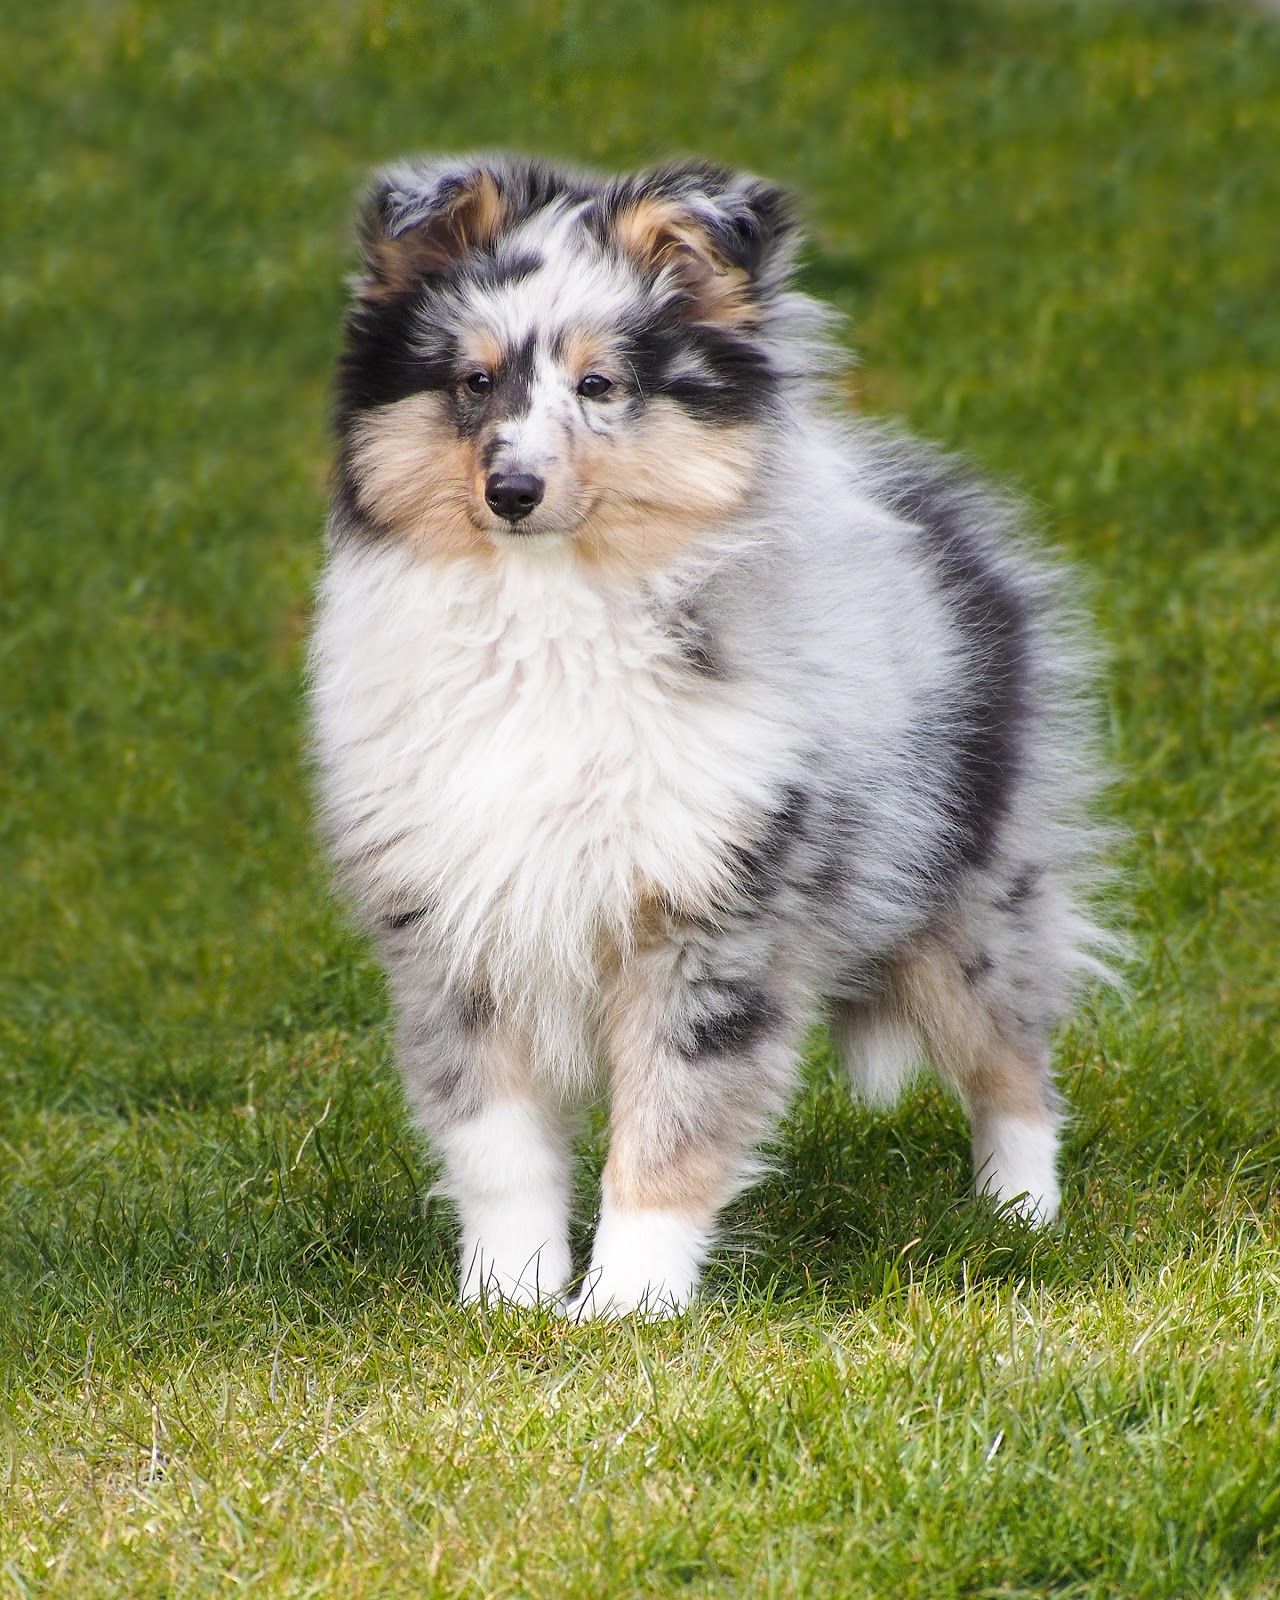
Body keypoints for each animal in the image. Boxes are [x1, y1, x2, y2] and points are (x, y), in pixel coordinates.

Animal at [310, 156, 1107, 1318]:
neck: (551, 617)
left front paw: (625, 1307)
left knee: (1013, 1059)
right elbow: (497, 1144)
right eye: (472, 382)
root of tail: (934, 505)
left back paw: (1020, 1217)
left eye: (601, 387)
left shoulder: (710, 916)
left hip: (970, 894)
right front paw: (508, 1298)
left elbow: (668, 1128)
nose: (512, 492)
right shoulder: (453, 929)